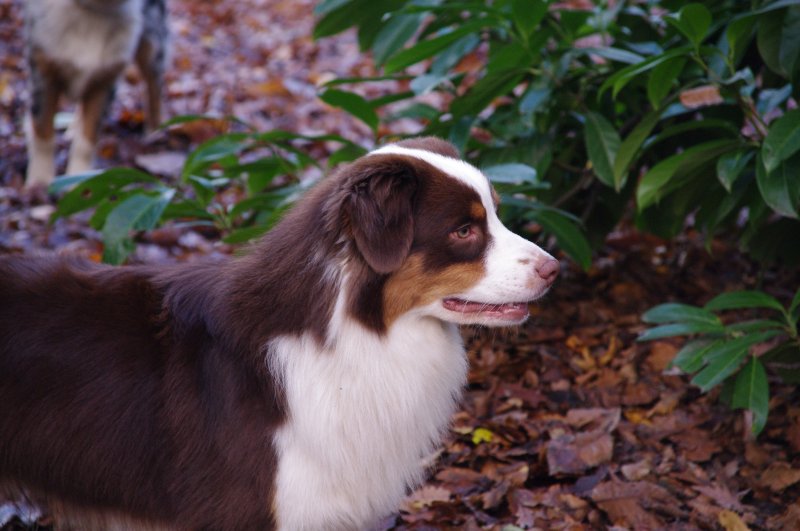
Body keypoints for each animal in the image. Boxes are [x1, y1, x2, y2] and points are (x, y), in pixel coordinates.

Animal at [23, 0, 167, 187]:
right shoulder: (43, 71)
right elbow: (43, 132)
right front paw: (39, 181)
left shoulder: (105, 80)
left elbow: (87, 140)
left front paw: (79, 179)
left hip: (153, 41)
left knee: (154, 86)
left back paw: (155, 132)